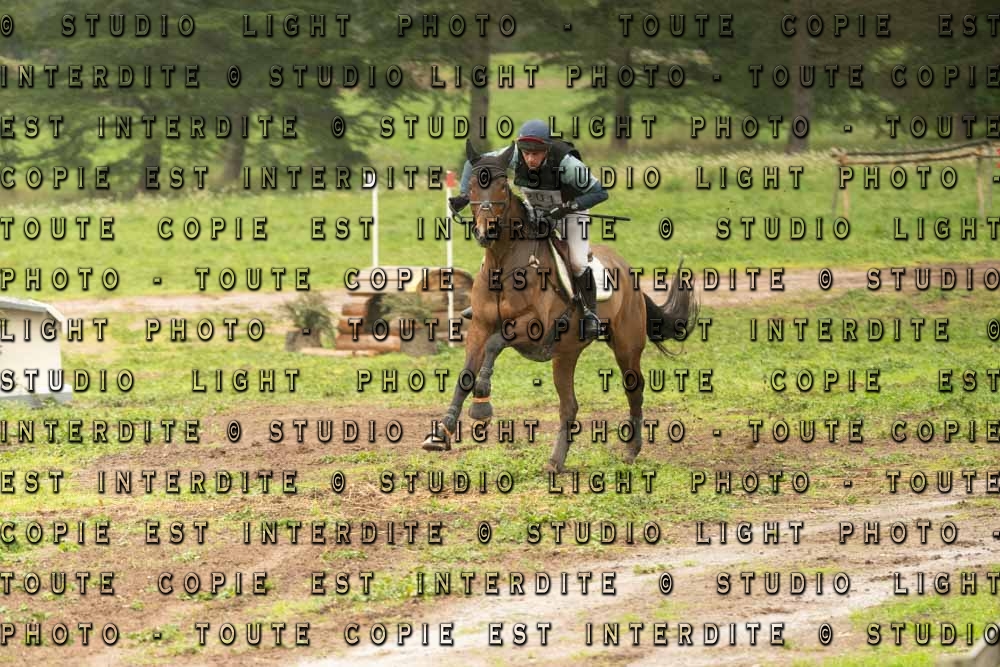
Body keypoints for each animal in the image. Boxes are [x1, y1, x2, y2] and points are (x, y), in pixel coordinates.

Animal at [421, 140, 695, 473]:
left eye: (502, 186)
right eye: (473, 185)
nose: (485, 231)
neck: (504, 261)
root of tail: (628, 271)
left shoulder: (534, 327)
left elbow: (496, 344)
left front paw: (482, 401)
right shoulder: (480, 326)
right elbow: (465, 375)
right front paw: (442, 432)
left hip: (626, 346)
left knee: (635, 389)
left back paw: (631, 450)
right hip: (565, 354)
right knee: (570, 405)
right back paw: (556, 461)